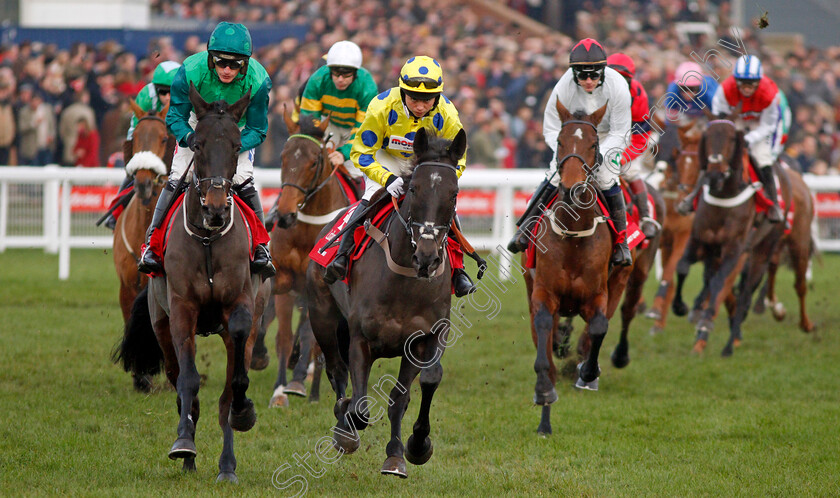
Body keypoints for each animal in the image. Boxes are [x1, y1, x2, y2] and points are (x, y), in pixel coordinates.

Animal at [115, 85, 270, 482]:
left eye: (236, 145)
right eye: (197, 145)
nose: (215, 209)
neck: (208, 240)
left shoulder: (240, 304)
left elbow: (235, 383)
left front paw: (243, 414)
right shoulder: (182, 309)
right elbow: (188, 382)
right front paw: (184, 443)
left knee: (227, 392)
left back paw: (227, 465)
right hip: (161, 325)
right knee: (181, 383)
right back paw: (189, 458)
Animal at [306, 127, 466, 478]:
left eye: (453, 193)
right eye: (415, 188)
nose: (427, 256)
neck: (404, 282)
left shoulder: (426, 337)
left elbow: (411, 391)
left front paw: (409, 449)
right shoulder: (361, 338)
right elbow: (360, 406)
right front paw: (347, 426)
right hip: (322, 317)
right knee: (336, 370)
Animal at [520, 102, 632, 436]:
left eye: (593, 145)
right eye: (559, 142)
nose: (570, 188)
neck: (572, 233)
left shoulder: (597, 295)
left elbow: (598, 328)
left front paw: (588, 372)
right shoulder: (543, 293)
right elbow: (545, 341)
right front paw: (544, 391)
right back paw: (545, 420)